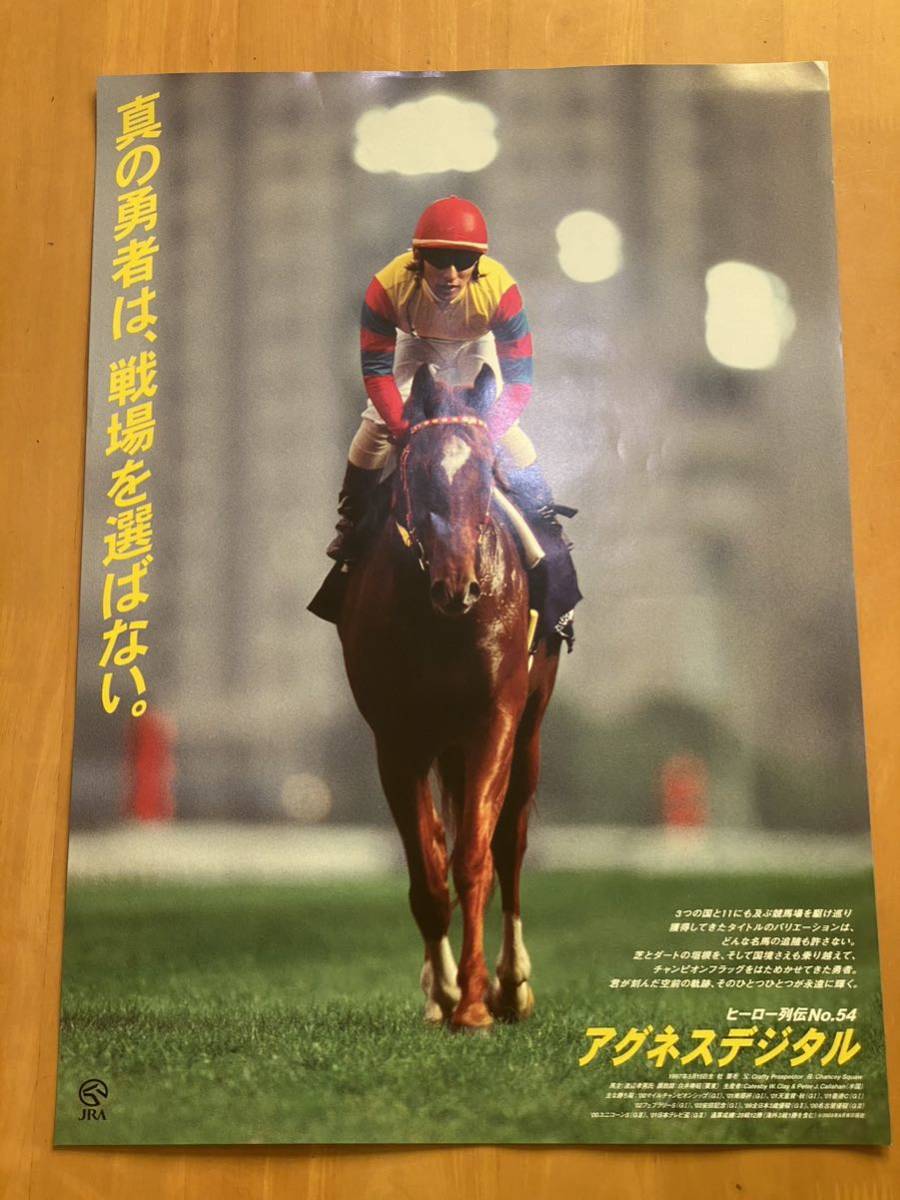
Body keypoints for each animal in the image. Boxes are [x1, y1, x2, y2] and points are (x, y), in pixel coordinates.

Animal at [337, 363, 561, 1031]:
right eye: (416, 471)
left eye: (487, 470)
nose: (457, 585)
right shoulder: (396, 736)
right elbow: (429, 868)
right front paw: (446, 991)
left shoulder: (495, 718)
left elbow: (475, 859)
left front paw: (479, 1002)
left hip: (530, 731)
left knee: (510, 842)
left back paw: (511, 986)